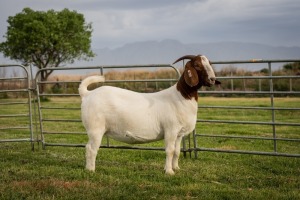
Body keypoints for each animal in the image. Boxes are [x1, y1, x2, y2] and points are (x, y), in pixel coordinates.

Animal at [78, 54, 220, 175]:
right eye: (197, 65)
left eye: (209, 63)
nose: (212, 79)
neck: (181, 96)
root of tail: (87, 94)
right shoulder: (171, 129)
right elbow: (170, 150)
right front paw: (169, 171)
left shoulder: (179, 134)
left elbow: (177, 151)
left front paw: (176, 168)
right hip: (95, 128)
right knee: (90, 148)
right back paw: (90, 170)